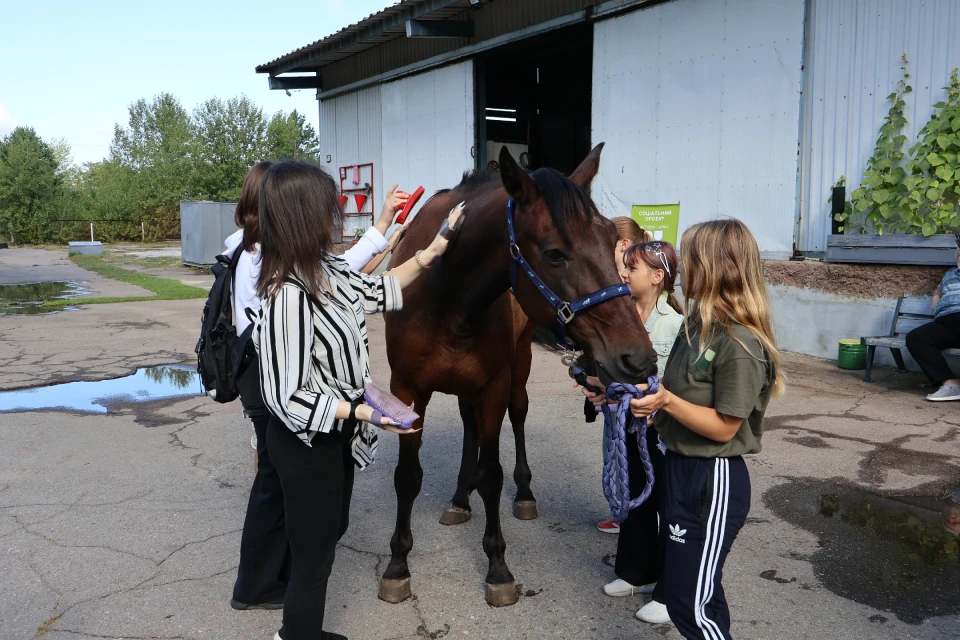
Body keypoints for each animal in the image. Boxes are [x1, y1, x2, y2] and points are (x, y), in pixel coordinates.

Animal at [378, 144, 656, 604]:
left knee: (519, 415)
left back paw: (522, 493)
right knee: (469, 425)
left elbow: (493, 475)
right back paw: (459, 497)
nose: (639, 358)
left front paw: (497, 568)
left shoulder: (494, 385)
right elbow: (407, 476)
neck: (444, 295)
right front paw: (398, 564)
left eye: (611, 242)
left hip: (518, 368)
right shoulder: (406, 388)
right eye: (555, 253)